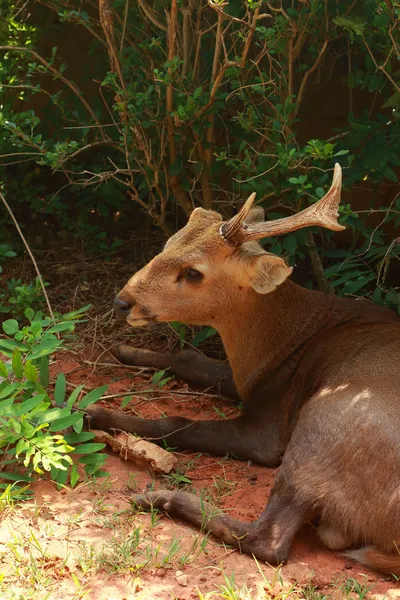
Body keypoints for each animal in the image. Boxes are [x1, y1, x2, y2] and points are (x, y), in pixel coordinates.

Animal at [86, 164, 400, 576]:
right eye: (169, 241)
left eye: (193, 272)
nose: (123, 302)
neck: (286, 342)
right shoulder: (246, 380)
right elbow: (189, 358)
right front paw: (124, 351)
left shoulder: (270, 429)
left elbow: (178, 423)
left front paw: (95, 412)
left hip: (324, 425)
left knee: (270, 540)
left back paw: (160, 497)